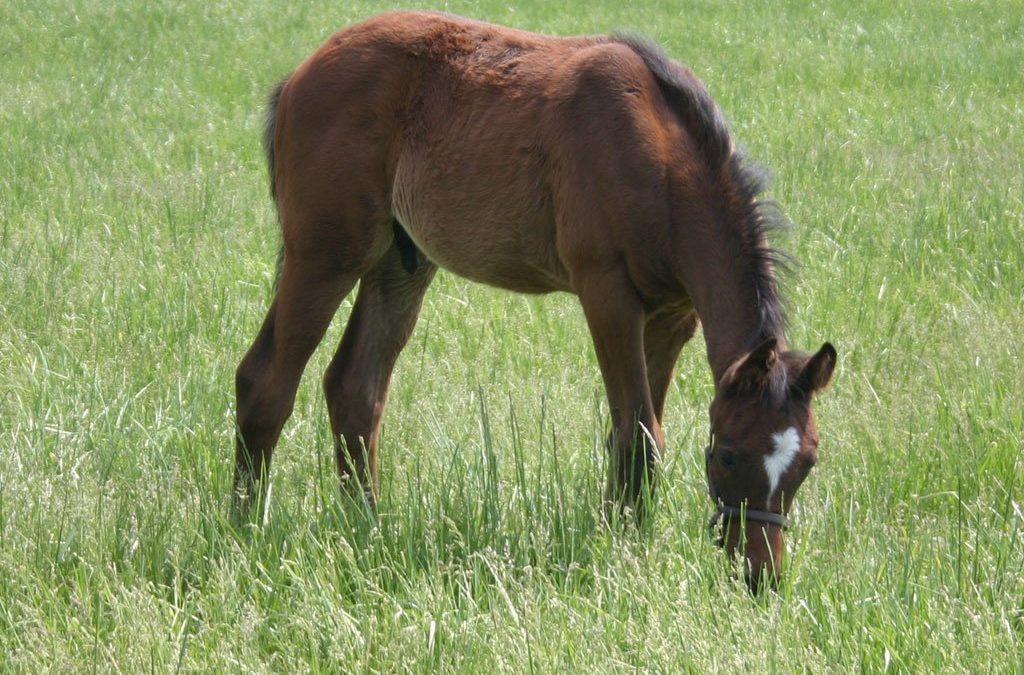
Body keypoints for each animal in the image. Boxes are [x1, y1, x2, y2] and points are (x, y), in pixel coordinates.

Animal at [235, 10, 835, 589]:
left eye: (807, 462)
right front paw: (623, 557)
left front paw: (626, 537)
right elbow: (637, 435)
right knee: (264, 380)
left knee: (355, 388)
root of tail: (298, 75)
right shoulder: (607, 294)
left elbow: (640, 429)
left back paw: (365, 525)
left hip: (399, 264)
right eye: (728, 454)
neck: (663, 163)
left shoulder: (672, 316)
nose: (760, 576)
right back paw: (244, 528)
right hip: (327, 255)